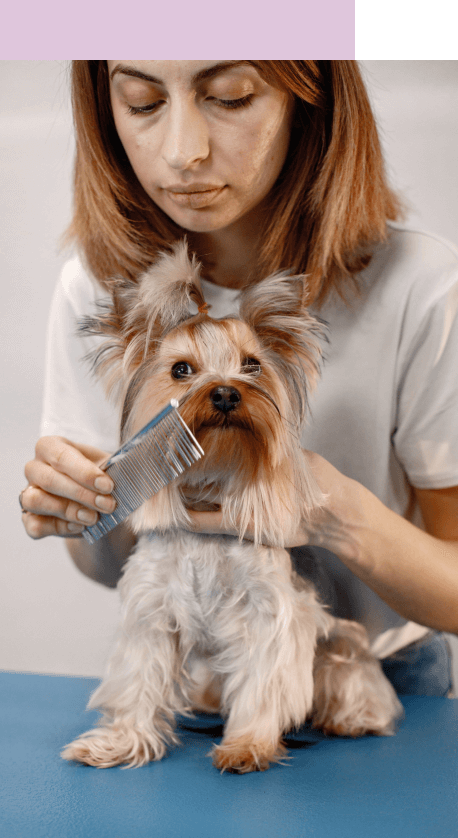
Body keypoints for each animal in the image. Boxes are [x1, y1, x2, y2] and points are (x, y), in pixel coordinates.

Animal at [60, 241, 400, 776]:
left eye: (252, 364)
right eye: (181, 370)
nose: (224, 392)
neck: (208, 488)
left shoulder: (270, 614)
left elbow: (263, 682)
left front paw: (247, 745)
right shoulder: (152, 611)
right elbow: (139, 679)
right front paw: (120, 741)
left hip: (343, 645)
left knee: (352, 678)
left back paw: (353, 716)